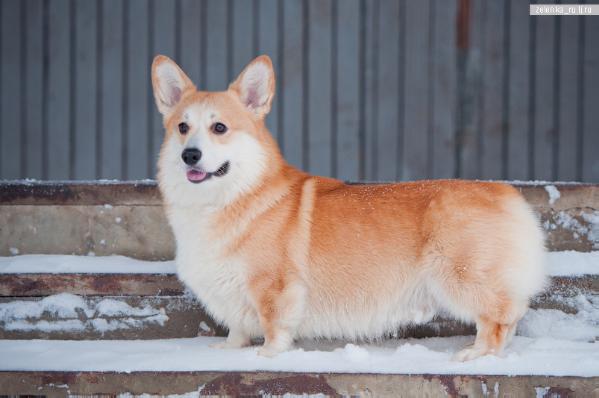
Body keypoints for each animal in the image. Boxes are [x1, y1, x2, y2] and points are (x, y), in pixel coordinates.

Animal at [151, 53, 548, 360]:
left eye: (219, 127)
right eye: (183, 127)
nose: (190, 155)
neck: (232, 196)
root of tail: (506, 193)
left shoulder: (274, 288)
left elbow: (274, 328)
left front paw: (266, 357)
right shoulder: (231, 294)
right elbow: (237, 328)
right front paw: (230, 351)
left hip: (459, 277)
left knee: (501, 316)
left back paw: (477, 354)